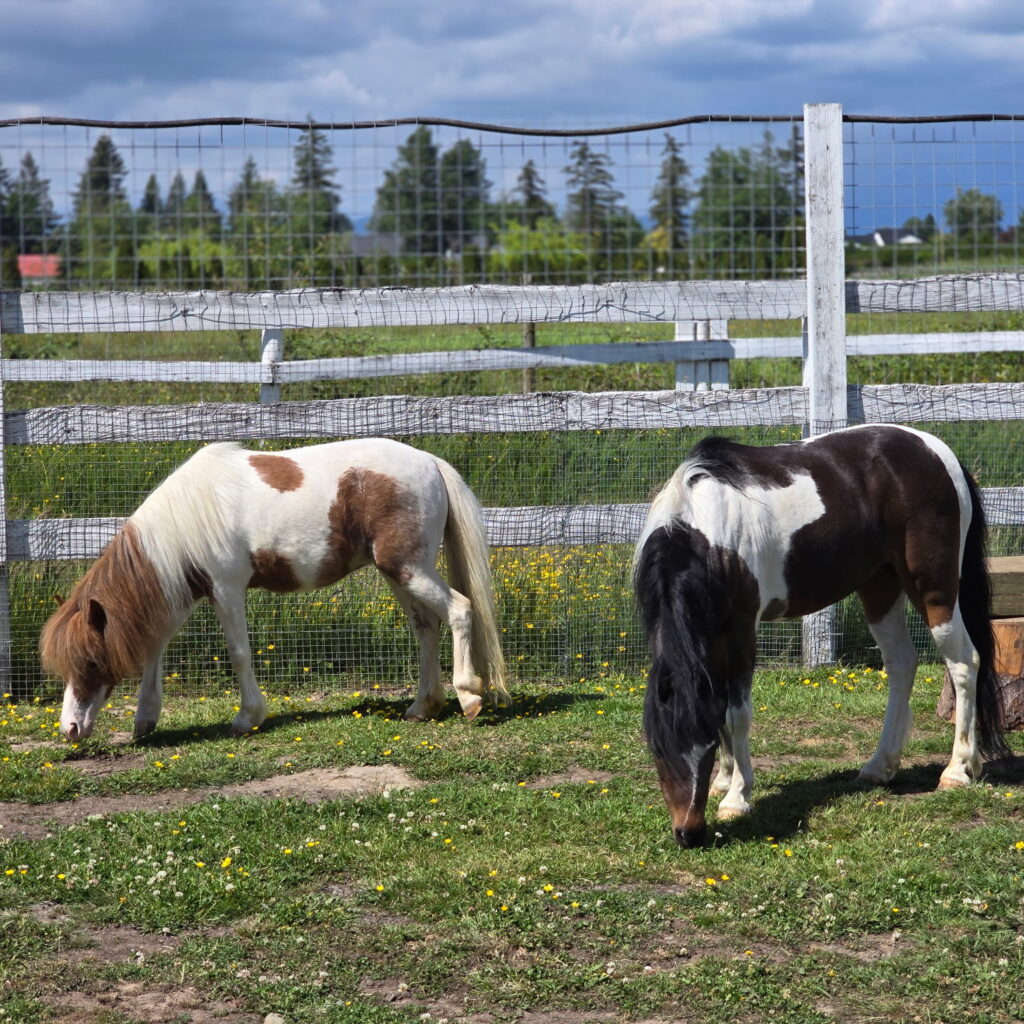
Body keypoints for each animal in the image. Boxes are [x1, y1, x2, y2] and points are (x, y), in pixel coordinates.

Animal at [41, 438, 508, 742]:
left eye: (89, 662)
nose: (70, 730)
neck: (185, 521)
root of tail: (430, 461)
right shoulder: (179, 599)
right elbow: (153, 650)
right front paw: (144, 720)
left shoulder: (226, 590)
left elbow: (239, 653)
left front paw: (248, 717)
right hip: (399, 573)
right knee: (426, 627)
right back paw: (422, 706)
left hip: (409, 570)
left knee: (460, 610)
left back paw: (469, 697)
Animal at [633, 424, 1009, 848]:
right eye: (659, 750)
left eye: (705, 747)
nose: (689, 833)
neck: (708, 535)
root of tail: (936, 449)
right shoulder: (712, 637)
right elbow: (721, 709)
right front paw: (725, 781)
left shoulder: (742, 630)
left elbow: (737, 714)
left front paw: (737, 797)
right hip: (879, 586)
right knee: (901, 664)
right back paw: (880, 766)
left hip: (934, 589)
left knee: (964, 662)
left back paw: (957, 770)